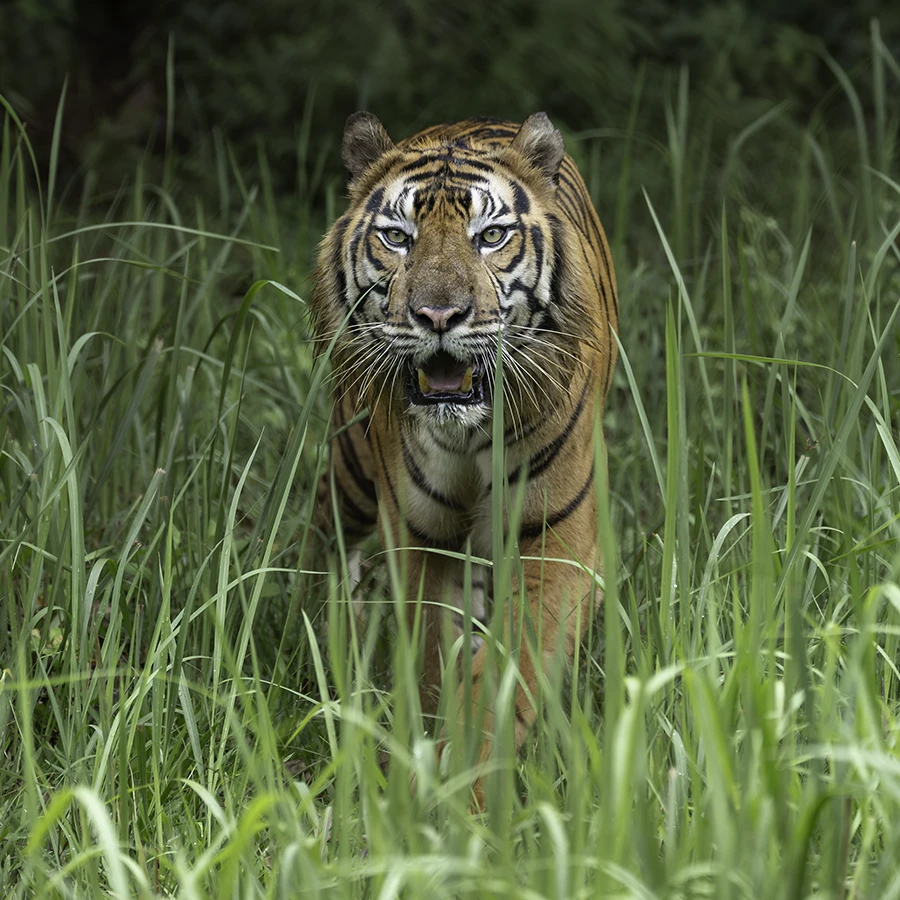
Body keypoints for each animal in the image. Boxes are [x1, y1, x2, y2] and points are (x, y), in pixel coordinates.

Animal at [311, 111, 618, 806]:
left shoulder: (553, 540)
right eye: (397, 238)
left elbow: (509, 670)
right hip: (351, 464)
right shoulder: (420, 535)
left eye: (492, 237)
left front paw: (467, 785)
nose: (439, 315)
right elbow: (432, 657)